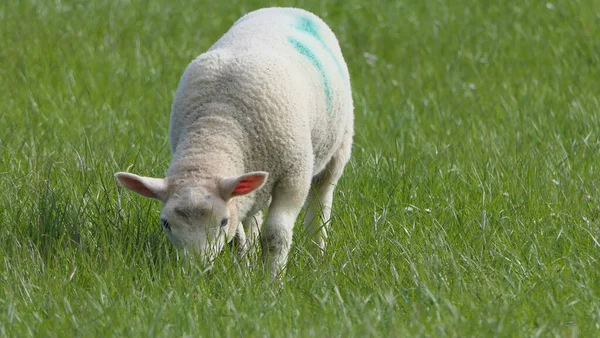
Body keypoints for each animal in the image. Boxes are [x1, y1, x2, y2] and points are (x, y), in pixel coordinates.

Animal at [113, 6, 352, 278]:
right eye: (166, 224)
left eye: (222, 222)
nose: (197, 271)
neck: (217, 130)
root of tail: (285, 8)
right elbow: (238, 239)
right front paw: (244, 273)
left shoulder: (294, 177)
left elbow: (275, 236)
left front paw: (272, 280)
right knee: (253, 215)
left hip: (338, 145)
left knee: (321, 201)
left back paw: (316, 256)